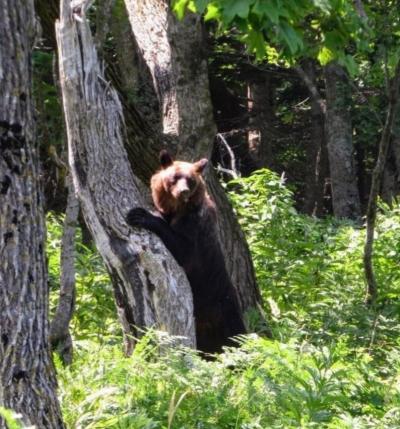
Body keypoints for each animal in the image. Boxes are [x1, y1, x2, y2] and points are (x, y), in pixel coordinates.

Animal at [127, 150, 247, 352]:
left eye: (190, 180)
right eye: (175, 177)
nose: (183, 191)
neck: (178, 209)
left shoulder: (195, 228)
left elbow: (183, 250)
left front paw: (140, 215)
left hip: (221, 311)